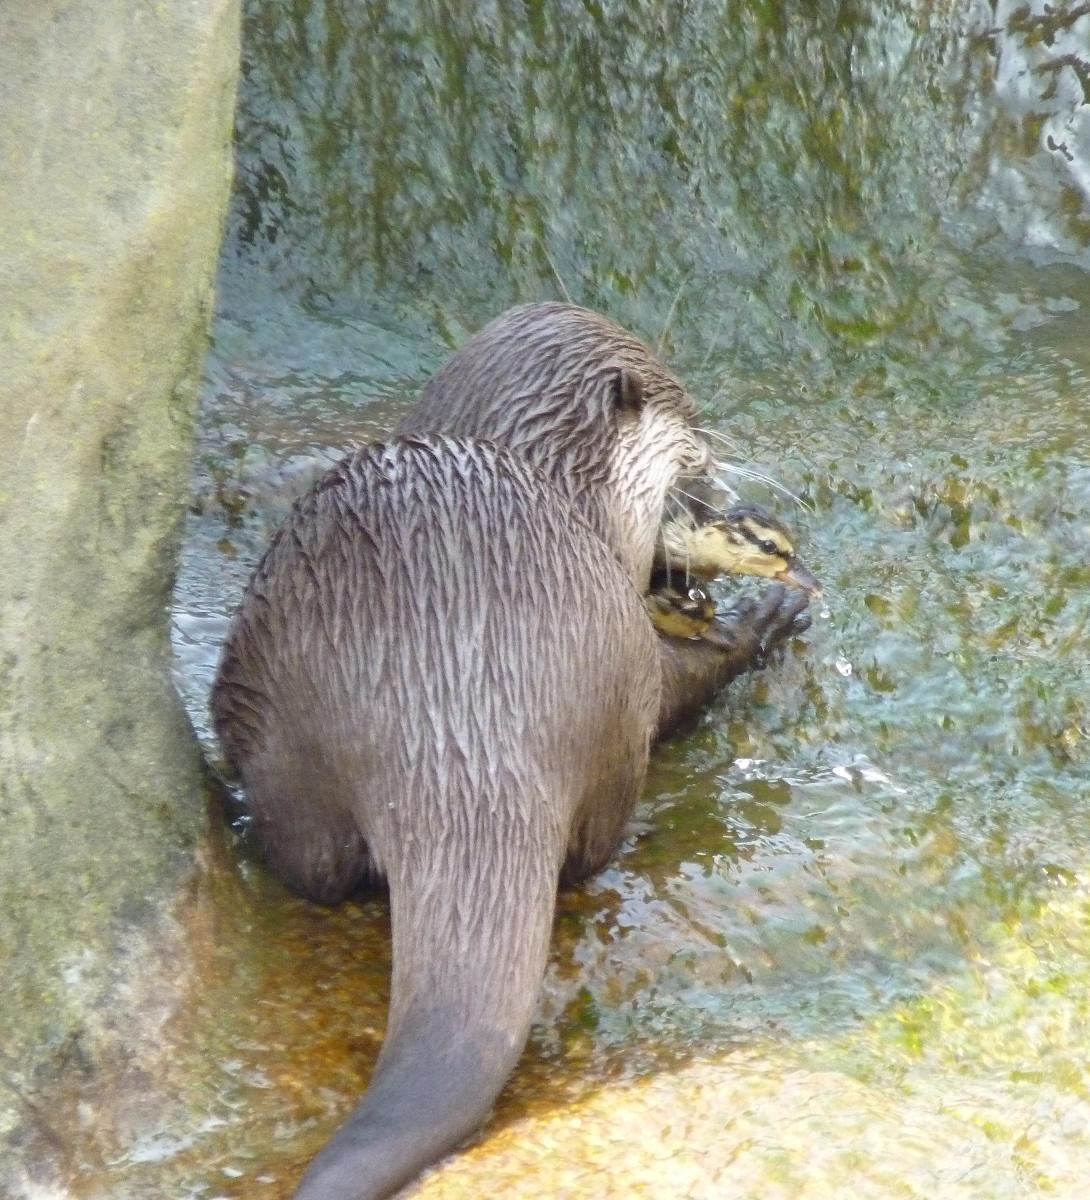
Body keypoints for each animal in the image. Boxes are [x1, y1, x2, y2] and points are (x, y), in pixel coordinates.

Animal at [211, 303, 810, 1200]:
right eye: (694, 439)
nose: (715, 485)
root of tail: (460, 721)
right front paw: (756, 621)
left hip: (280, 699)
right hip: (609, 684)